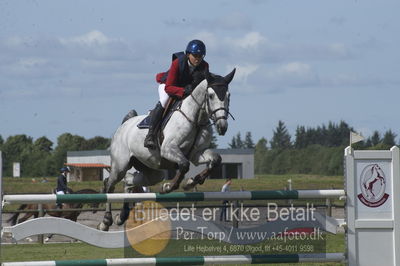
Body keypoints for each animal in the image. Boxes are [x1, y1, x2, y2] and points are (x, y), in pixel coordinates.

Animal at [99, 69, 236, 231]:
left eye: (228, 96)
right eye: (210, 95)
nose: (222, 127)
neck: (196, 119)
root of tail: (124, 125)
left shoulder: (197, 154)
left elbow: (215, 160)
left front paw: (191, 182)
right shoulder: (169, 149)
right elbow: (184, 165)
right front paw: (168, 187)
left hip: (152, 171)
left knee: (129, 181)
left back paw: (122, 216)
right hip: (120, 165)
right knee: (109, 184)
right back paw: (106, 221)